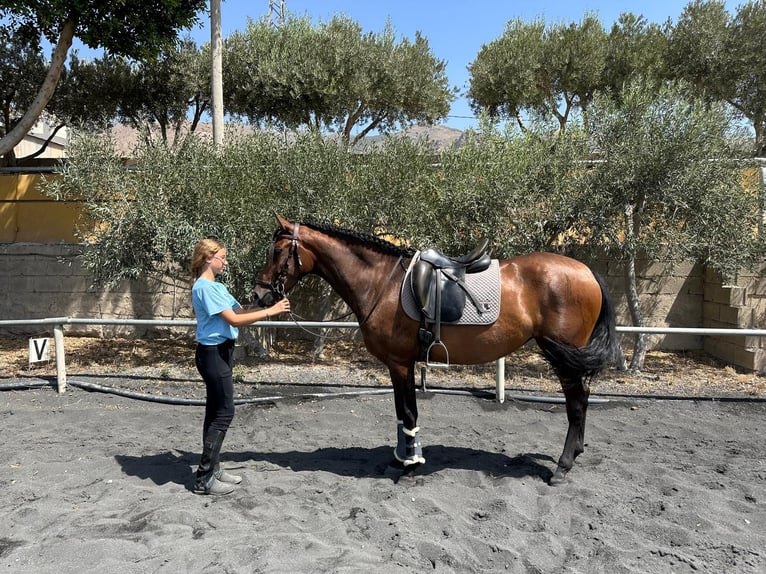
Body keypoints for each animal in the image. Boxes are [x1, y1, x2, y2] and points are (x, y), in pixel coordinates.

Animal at [255, 217, 620, 486]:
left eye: (278, 250)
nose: (260, 294)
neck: (382, 283)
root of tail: (587, 271)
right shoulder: (401, 365)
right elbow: (402, 413)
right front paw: (400, 459)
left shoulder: (400, 363)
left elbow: (408, 413)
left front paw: (410, 467)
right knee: (582, 398)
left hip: (564, 356)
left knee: (576, 404)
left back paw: (562, 466)